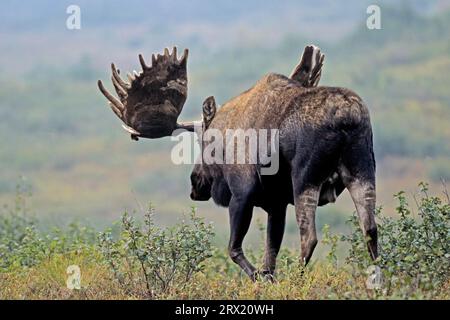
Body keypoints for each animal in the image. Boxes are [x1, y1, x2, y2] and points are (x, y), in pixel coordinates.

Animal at [99, 45, 380, 280]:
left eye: (203, 143)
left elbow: (235, 249)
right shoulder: (276, 203)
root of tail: (346, 117)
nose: (195, 183)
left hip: (305, 177)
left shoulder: (243, 191)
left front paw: (259, 278)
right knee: (370, 230)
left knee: (309, 236)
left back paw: (298, 280)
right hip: (363, 170)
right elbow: (270, 253)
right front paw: (268, 278)